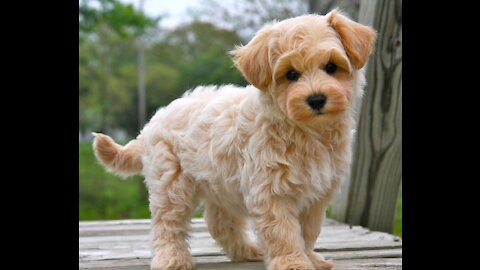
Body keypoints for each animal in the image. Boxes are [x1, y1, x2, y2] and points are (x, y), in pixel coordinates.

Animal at [91, 9, 376, 268]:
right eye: (291, 74)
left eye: (331, 67)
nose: (316, 99)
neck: (306, 131)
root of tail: (152, 123)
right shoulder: (270, 191)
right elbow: (283, 232)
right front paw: (293, 262)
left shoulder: (317, 194)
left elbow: (308, 231)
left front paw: (310, 258)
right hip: (171, 183)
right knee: (168, 224)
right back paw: (172, 259)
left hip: (219, 183)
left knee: (219, 222)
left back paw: (246, 250)